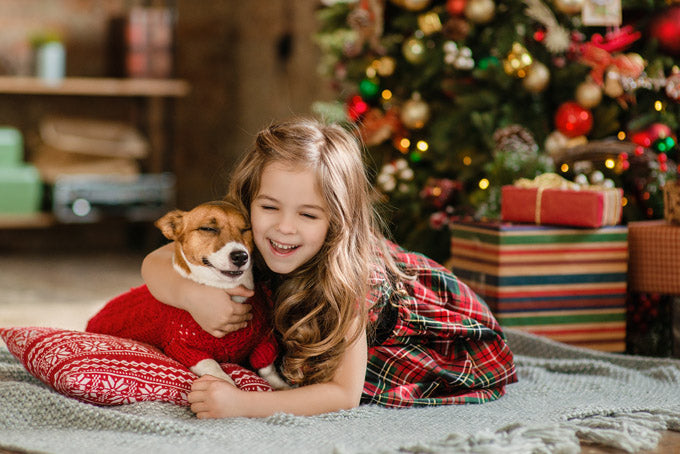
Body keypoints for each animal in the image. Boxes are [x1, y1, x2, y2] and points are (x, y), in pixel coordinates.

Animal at [85, 200, 286, 388]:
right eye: (208, 228)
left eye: (246, 229)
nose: (240, 256)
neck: (226, 290)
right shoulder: (183, 347)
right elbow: (212, 366)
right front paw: (223, 383)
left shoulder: (264, 342)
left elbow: (267, 368)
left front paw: (280, 385)